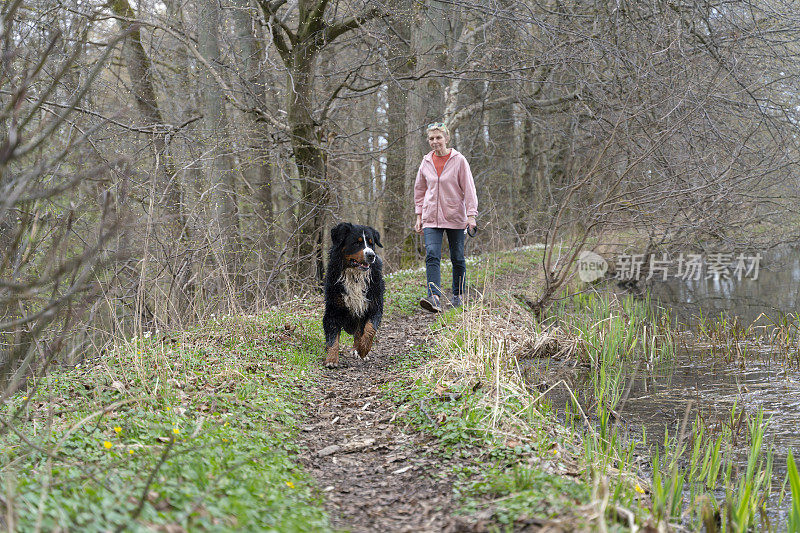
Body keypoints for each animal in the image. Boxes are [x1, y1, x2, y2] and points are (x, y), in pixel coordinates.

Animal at [322, 222, 384, 368]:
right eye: (357, 243)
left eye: (371, 243)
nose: (371, 255)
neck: (355, 275)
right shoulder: (333, 309)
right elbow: (333, 337)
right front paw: (331, 359)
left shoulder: (374, 305)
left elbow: (369, 329)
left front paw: (363, 349)